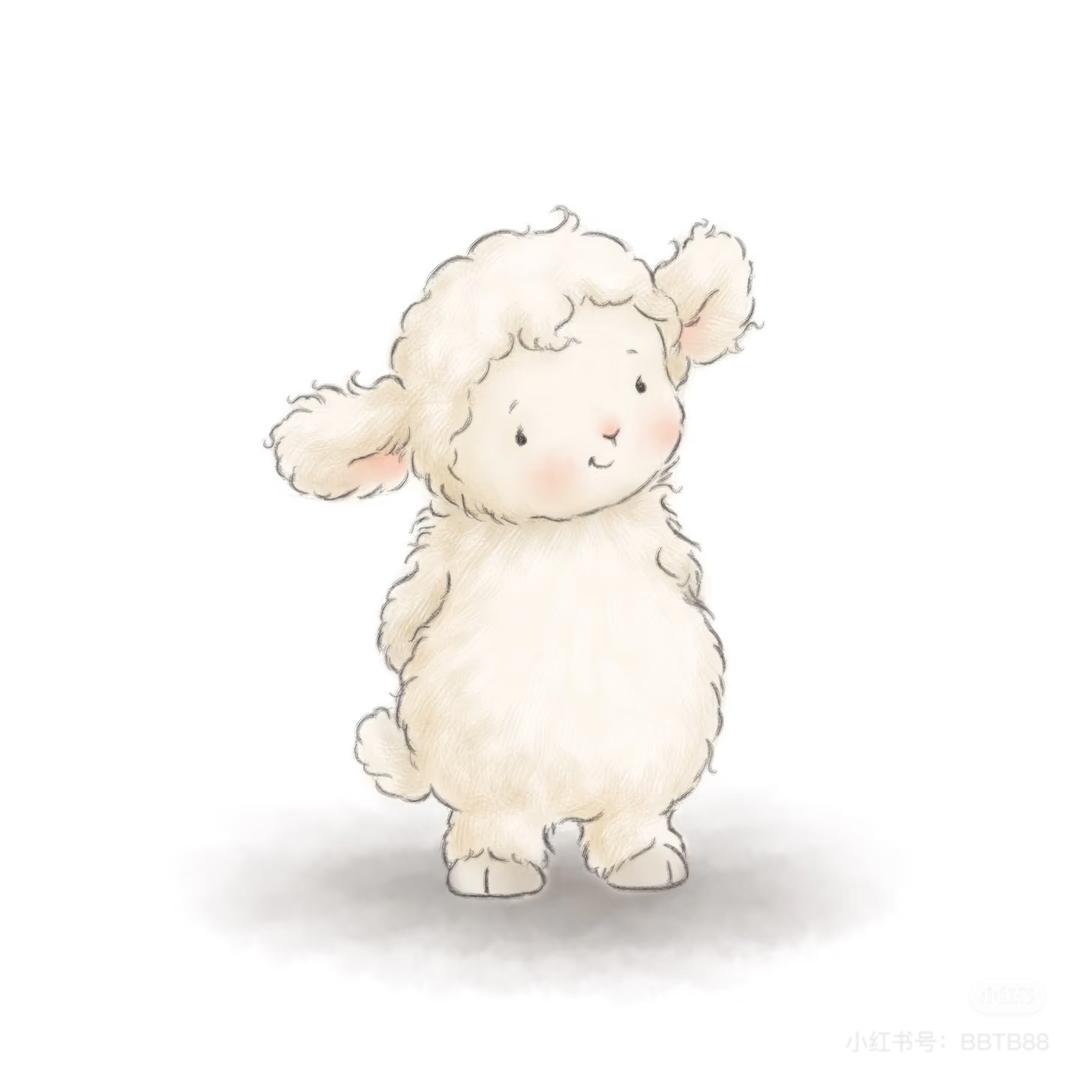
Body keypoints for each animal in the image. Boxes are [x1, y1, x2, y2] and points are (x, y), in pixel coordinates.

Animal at [268, 208, 757, 897]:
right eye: (522, 435)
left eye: (639, 382)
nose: (609, 431)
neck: (566, 529)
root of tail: (567, 805)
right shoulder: (445, 559)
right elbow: (409, 612)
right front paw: (396, 641)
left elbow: (682, 570)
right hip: (485, 777)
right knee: (495, 818)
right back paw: (495, 866)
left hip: (647, 764)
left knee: (630, 813)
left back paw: (640, 859)